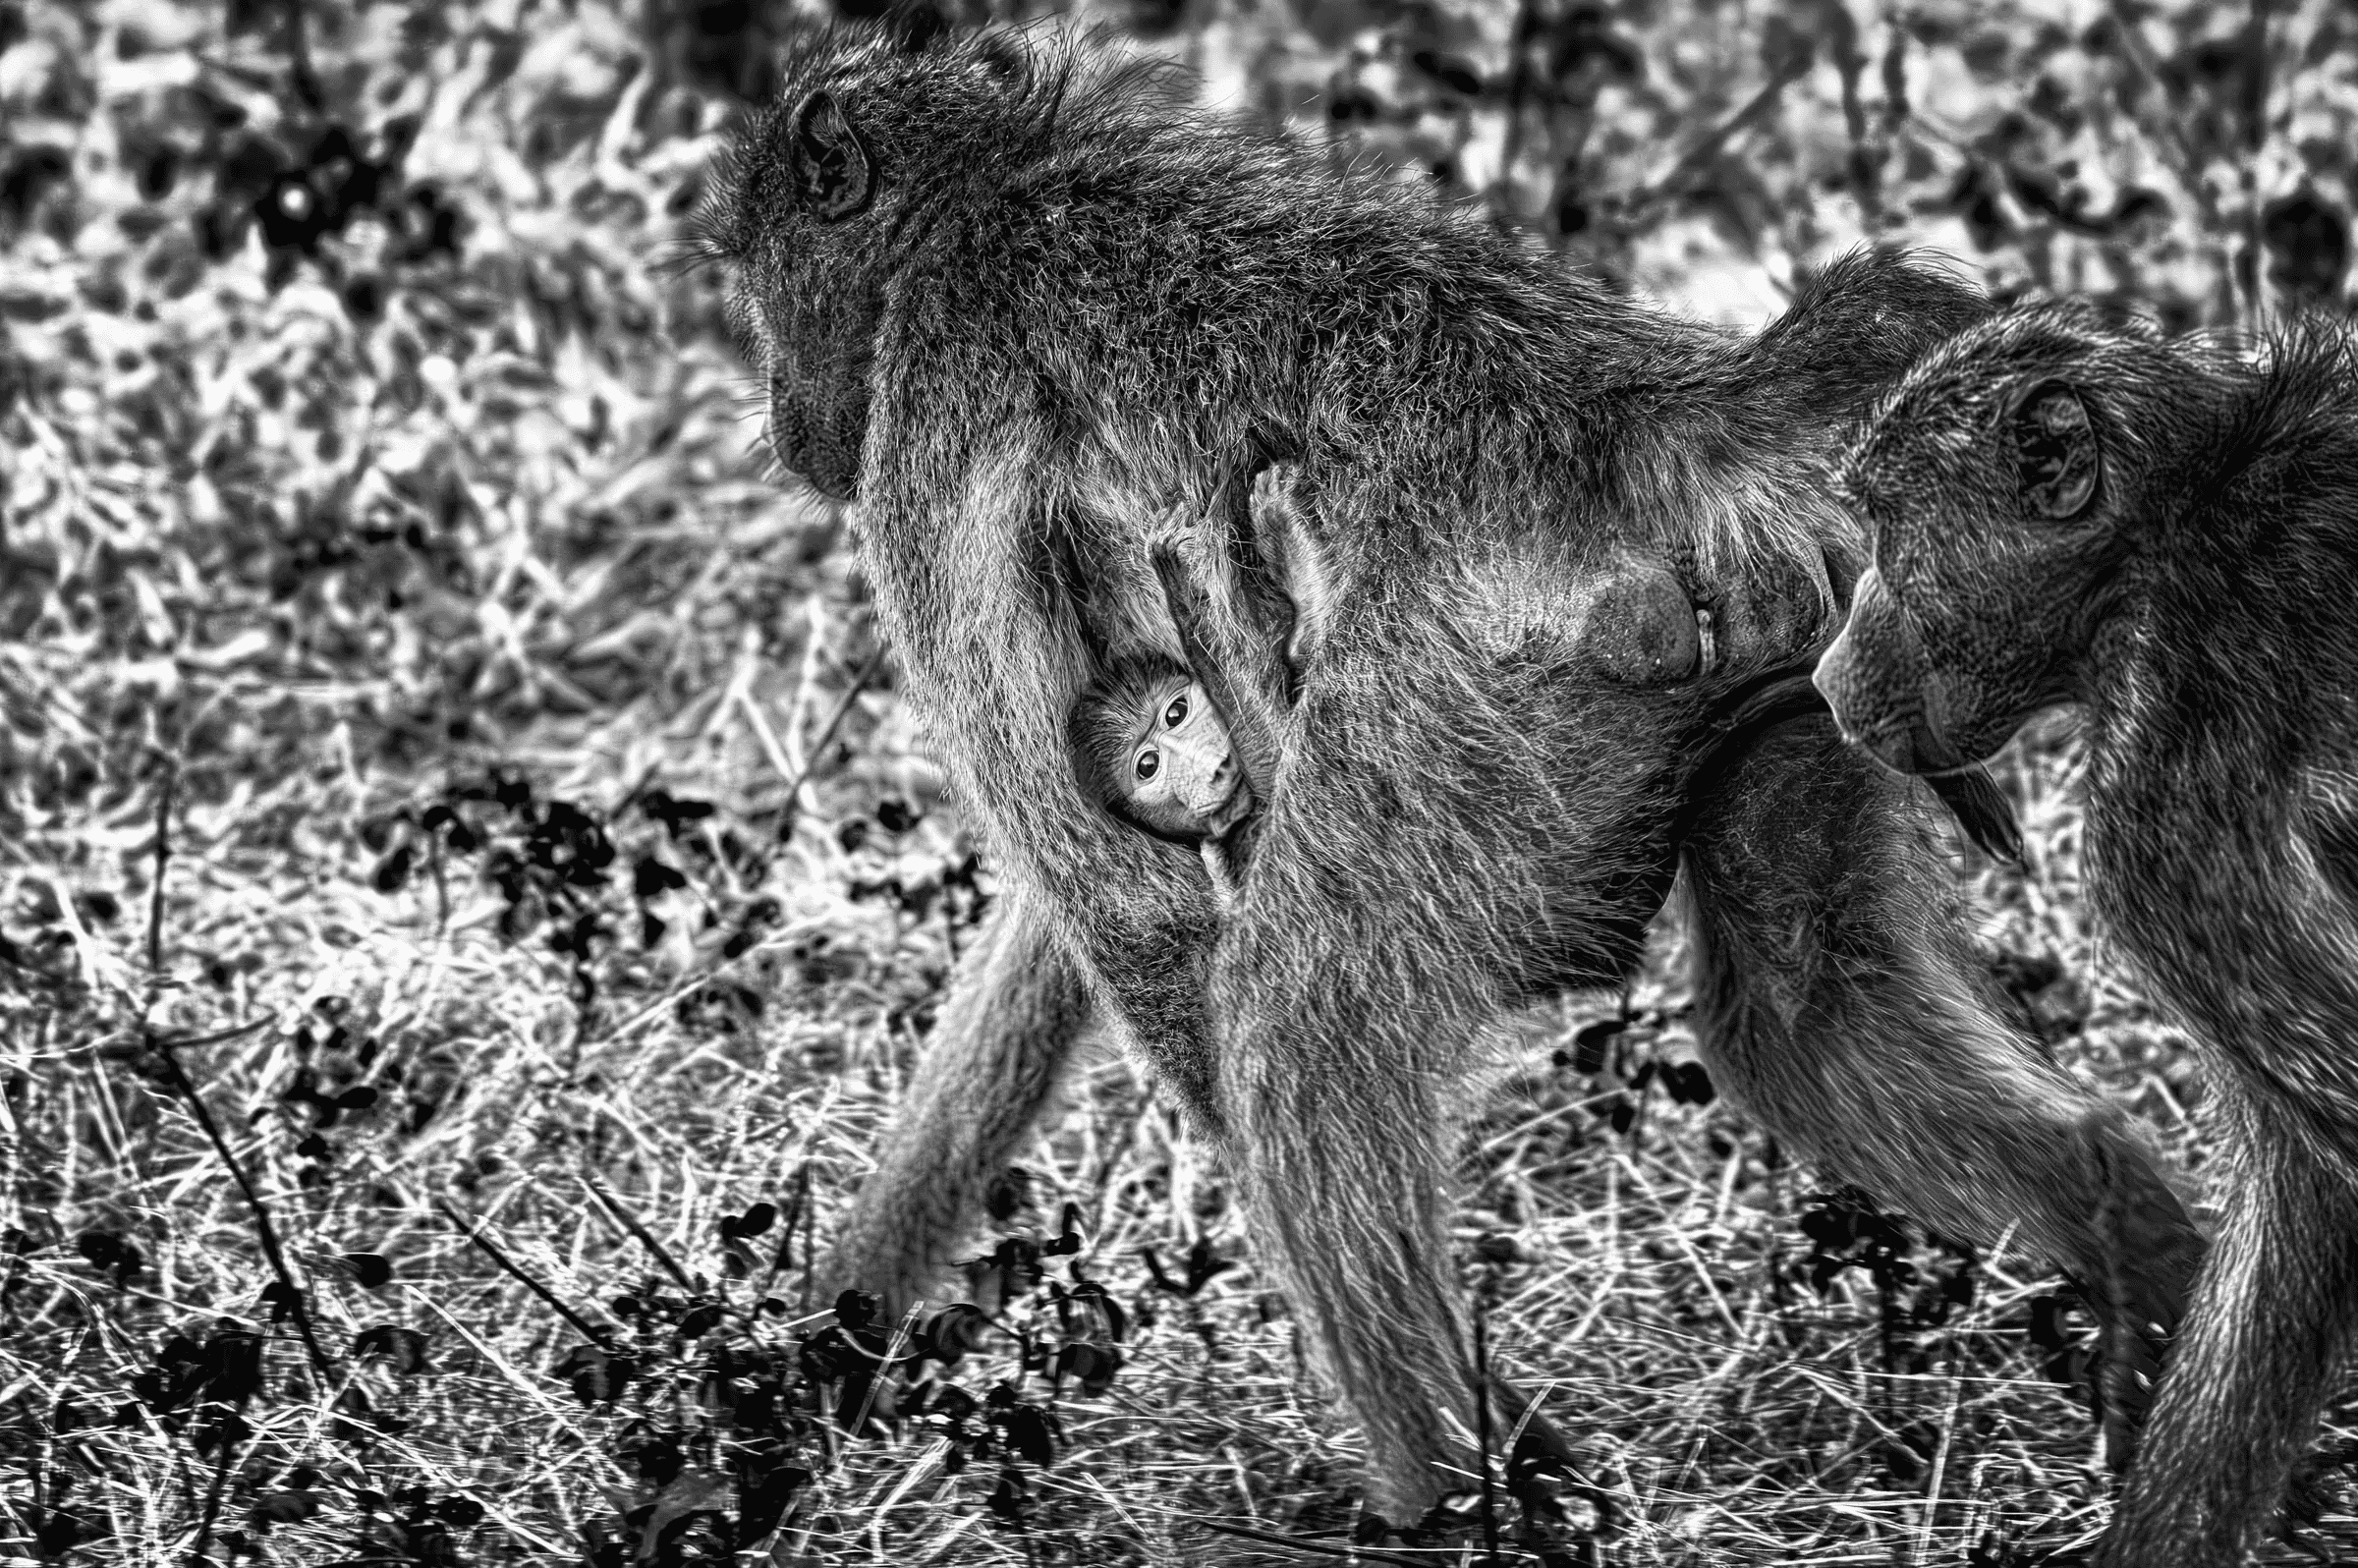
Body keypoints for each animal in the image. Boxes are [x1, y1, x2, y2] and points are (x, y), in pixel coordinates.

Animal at [700, 28, 2206, 1531]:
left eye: (755, 272)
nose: (782, 425)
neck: (985, 190)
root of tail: (1647, 416)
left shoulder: (931, 413)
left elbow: (1127, 913)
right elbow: (1062, 930)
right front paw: (815, 1365)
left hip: (1451, 721)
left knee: (1294, 1037)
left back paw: (1469, 1499)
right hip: (1828, 656)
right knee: (1802, 1003)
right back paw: (2146, 1263)